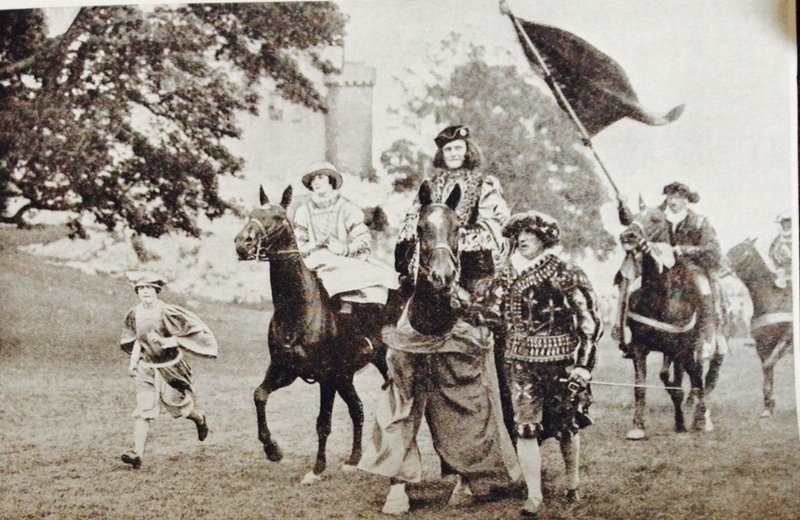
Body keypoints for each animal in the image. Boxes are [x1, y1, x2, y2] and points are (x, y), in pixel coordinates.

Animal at [233, 184, 390, 484]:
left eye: (279, 217)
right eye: (252, 213)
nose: (242, 243)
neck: (299, 309)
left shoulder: (326, 377)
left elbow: (323, 423)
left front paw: (316, 469)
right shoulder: (284, 369)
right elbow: (259, 395)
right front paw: (273, 450)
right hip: (346, 377)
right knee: (358, 409)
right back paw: (354, 459)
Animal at [616, 204, 720, 438]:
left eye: (655, 219)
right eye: (631, 216)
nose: (628, 236)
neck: (659, 297)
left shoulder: (682, 349)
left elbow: (692, 381)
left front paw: (700, 420)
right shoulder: (640, 348)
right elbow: (641, 386)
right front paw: (638, 426)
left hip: (692, 349)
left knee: (698, 377)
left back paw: (701, 419)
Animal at [724, 238, 792, 416]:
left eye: (741, 250)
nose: (720, 265)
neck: (772, 300)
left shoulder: (787, 340)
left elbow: (768, 365)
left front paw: (771, 403)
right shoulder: (763, 345)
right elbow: (767, 369)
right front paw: (768, 407)